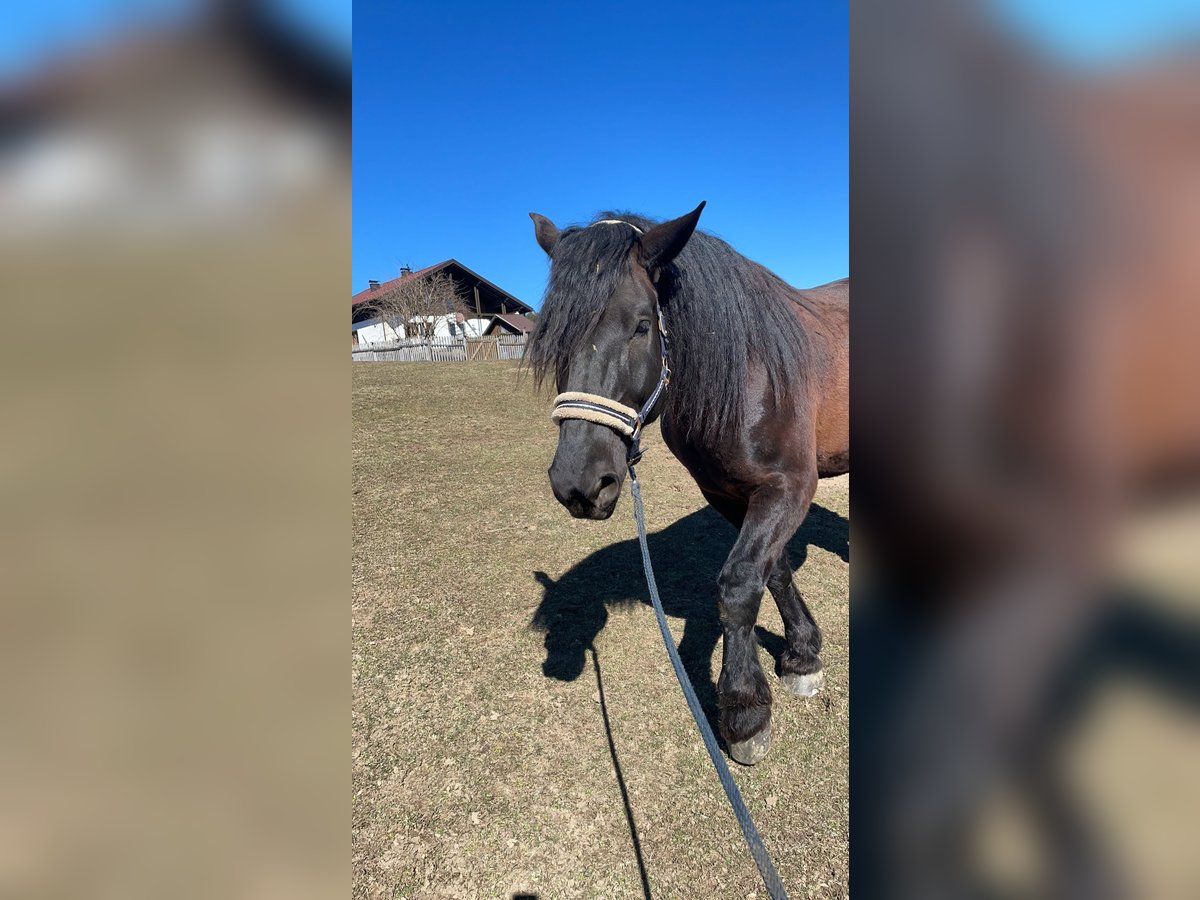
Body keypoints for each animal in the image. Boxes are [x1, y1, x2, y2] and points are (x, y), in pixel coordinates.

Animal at [526, 202, 849, 764]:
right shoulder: (728, 495)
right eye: (555, 334)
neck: (749, 374)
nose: (579, 484)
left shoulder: (790, 488)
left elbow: (738, 586)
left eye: (641, 326)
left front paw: (745, 710)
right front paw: (802, 655)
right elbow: (774, 572)